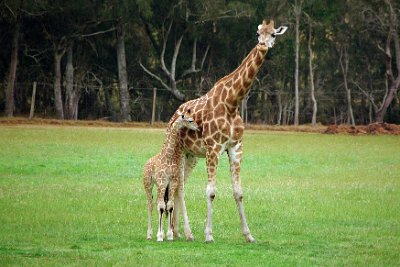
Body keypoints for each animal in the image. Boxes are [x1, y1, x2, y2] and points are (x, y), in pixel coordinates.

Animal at [144, 109, 200, 243]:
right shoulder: (162, 181)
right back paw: (149, 234)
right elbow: (161, 206)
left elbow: (169, 206)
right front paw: (160, 236)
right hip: (148, 185)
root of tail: (146, 164)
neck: (168, 155)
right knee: (150, 205)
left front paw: (169, 235)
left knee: (157, 204)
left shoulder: (172, 182)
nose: (198, 127)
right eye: (190, 120)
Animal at [167, 19, 286, 244]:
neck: (232, 104)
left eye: (273, 34)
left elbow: (238, 192)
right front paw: (208, 234)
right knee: (179, 186)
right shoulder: (213, 148)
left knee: (180, 185)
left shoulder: (236, 147)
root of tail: (173, 114)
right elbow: (211, 191)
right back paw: (183, 232)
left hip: (191, 156)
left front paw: (249, 235)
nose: (263, 45)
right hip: (180, 153)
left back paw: (178, 232)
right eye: (258, 33)